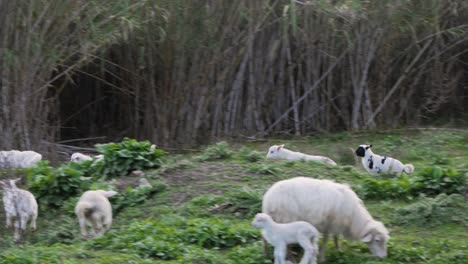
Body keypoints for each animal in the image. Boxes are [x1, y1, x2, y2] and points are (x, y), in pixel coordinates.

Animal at [262, 176, 390, 260]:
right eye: (377, 240)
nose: (384, 257)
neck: (353, 216)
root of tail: (268, 198)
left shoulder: (334, 224)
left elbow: (335, 237)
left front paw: (339, 250)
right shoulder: (330, 223)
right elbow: (327, 240)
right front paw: (322, 257)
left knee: (264, 236)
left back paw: (266, 255)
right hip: (286, 218)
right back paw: (287, 257)